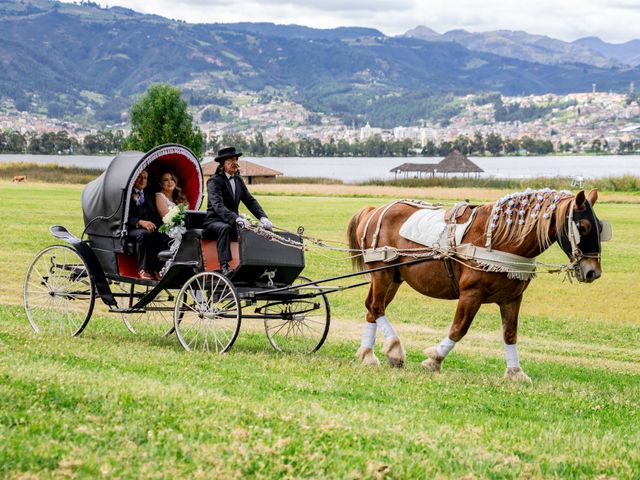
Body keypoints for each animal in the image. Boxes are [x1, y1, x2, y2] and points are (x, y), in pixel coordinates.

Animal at [348, 189, 608, 380]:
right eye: (583, 227)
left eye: (601, 228)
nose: (593, 272)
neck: (500, 240)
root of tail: (373, 210)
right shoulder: (471, 295)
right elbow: (458, 329)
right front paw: (434, 360)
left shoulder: (512, 298)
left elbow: (510, 334)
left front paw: (515, 372)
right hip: (382, 273)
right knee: (377, 307)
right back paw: (394, 348)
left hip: (393, 277)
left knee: (372, 308)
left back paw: (368, 354)